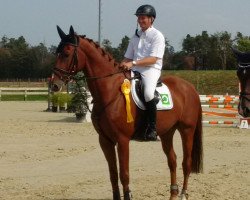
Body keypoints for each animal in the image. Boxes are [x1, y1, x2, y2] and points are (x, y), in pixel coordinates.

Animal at [53, 25, 203, 199]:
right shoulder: (105, 140)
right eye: (57, 52)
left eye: (67, 53)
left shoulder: (122, 140)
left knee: (187, 163)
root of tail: (190, 87)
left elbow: (124, 174)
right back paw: (173, 194)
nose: (54, 85)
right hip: (167, 132)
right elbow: (113, 174)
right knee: (172, 160)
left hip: (187, 130)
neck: (111, 91)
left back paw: (184, 194)